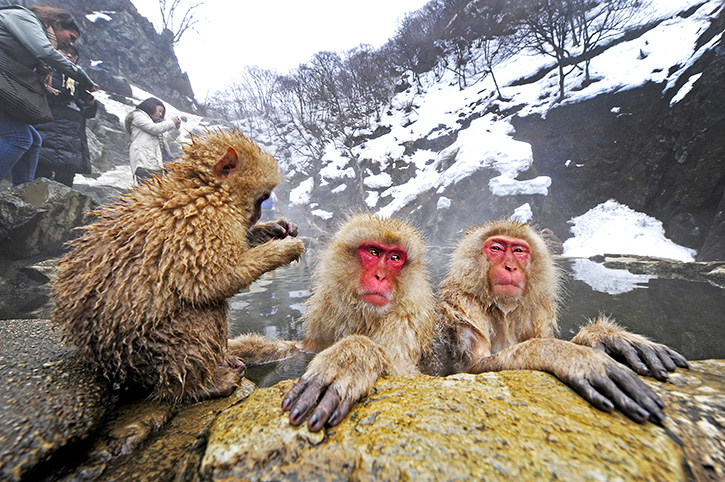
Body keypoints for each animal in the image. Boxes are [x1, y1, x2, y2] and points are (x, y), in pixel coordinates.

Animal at [52, 130, 304, 402]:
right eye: (263, 197)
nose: (258, 216)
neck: (204, 189)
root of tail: (105, 365)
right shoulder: (202, 223)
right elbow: (211, 280)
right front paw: (283, 249)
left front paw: (274, 229)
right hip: (150, 353)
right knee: (204, 310)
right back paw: (199, 385)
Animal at [232, 213, 436, 432]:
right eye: (373, 252)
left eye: (395, 258)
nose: (380, 276)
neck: (366, 315)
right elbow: (304, 350)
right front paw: (244, 349)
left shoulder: (407, 320)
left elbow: (403, 373)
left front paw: (349, 359)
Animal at [430, 220, 692, 424]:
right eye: (496, 248)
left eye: (518, 251)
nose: (510, 266)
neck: (502, 308)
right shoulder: (463, 304)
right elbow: (471, 367)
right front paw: (571, 356)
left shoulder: (537, 310)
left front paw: (606, 336)